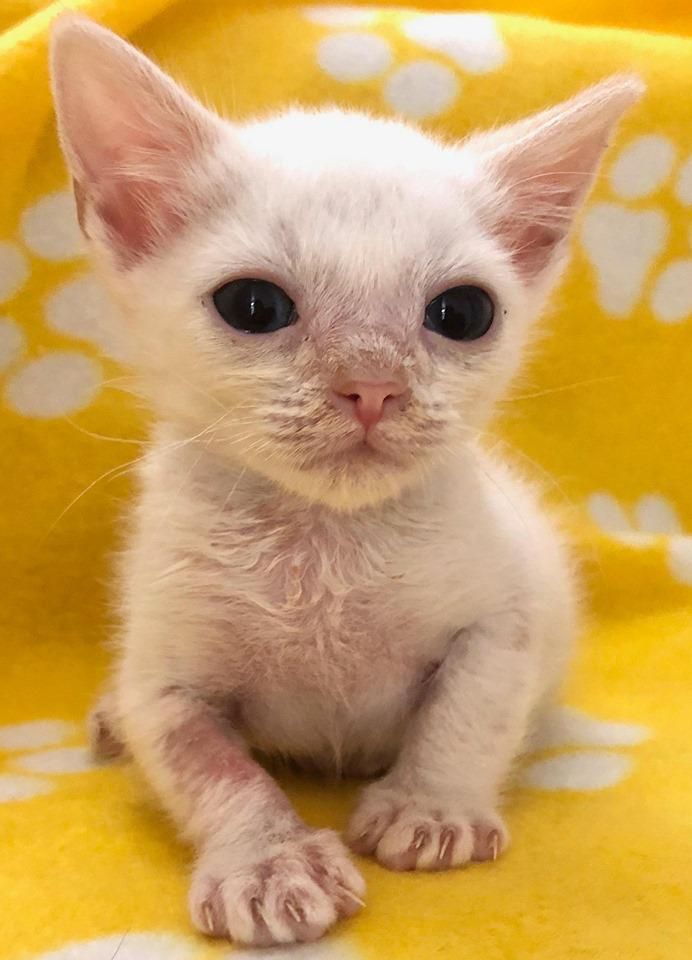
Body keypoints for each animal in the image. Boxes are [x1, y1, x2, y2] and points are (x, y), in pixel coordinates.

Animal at [51, 13, 648, 944]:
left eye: (462, 313)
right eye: (254, 305)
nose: (371, 383)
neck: (324, 548)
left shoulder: (505, 620)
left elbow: (470, 710)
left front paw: (432, 810)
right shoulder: (164, 674)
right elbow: (208, 766)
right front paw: (268, 861)